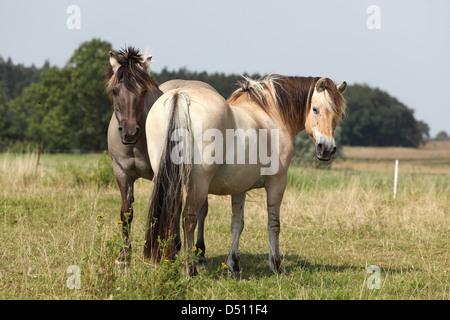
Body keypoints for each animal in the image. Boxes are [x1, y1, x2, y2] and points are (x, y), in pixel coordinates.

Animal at [145, 74, 348, 276]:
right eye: (315, 109)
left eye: (337, 114)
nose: (327, 148)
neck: (270, 114)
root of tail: (180, 95)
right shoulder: (277, 183)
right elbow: (274, 224)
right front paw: (276, 265)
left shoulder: (238, 188)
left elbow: (237, 224)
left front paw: (234, 264)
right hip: (199, 182)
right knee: (189, 218)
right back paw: (191, 269)